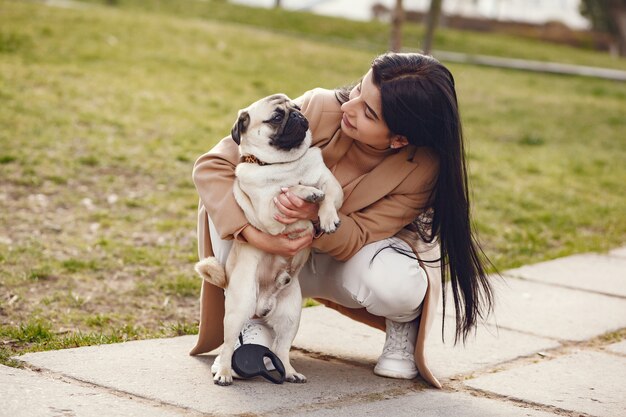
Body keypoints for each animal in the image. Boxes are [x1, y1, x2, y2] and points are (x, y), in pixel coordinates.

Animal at [195, 92, 342, 386]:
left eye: (297, 107)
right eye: (276, 117)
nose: (297, 115)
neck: (287, 164)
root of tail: (263, 304)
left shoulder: (333, 186)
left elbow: (328, 196)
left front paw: (327, 216)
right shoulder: (269, 212)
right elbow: (291, 189)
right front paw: (305, 192)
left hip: (291, 316)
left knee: (281, 349)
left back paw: (290, 372)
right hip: (239, 308)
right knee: (228, 345)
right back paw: (224, 372)